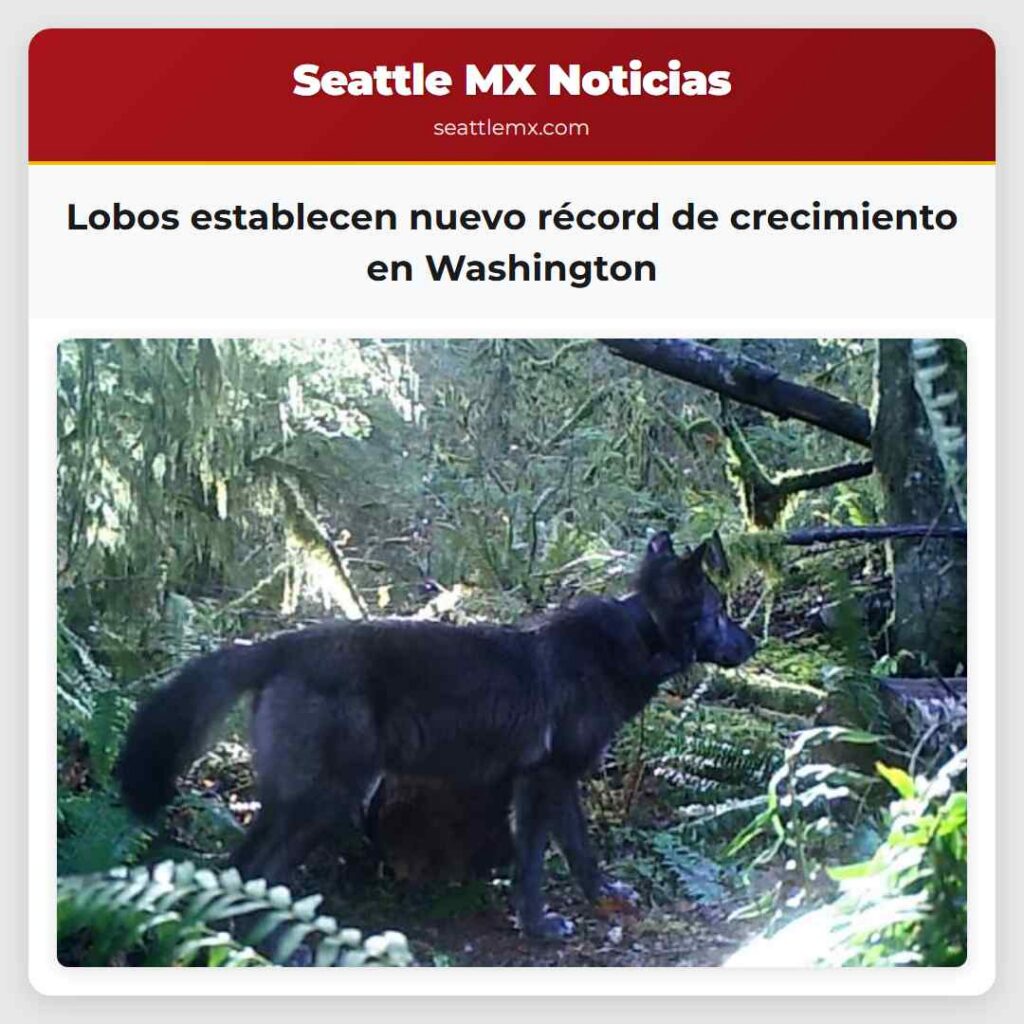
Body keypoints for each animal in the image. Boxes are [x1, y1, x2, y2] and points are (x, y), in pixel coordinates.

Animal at [119, 531, 755, 939]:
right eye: (721, 612)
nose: (753, 644)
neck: (638, 635)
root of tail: (276, 646)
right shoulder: (549, 780)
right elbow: (549, 858)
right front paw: (543, 927)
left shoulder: (543, 782)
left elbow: (564, 853)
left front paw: (588, 902)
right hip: (326, 800)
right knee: (250, 866)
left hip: (311, 801)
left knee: (247, 868)